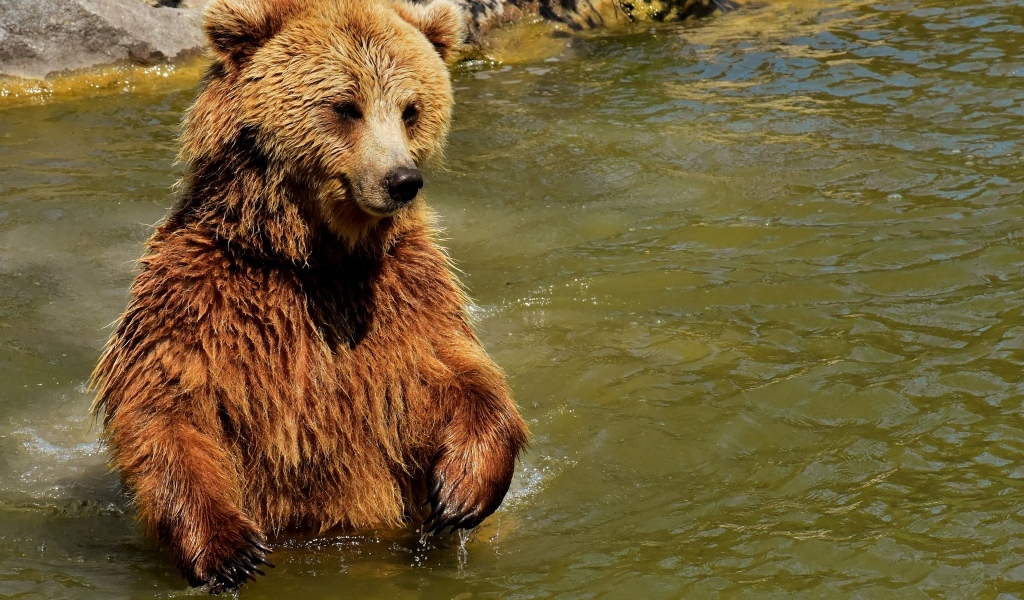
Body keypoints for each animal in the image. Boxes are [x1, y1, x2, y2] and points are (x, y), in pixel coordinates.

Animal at [90, 0, 528, 591]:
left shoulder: (404, 292)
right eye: (346, 106)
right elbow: (169, 405)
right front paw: (230, 550)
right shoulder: (200, 294)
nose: (402, 179)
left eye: (411, 109)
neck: (314, 257)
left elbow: (456, 372)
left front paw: (461, 491)